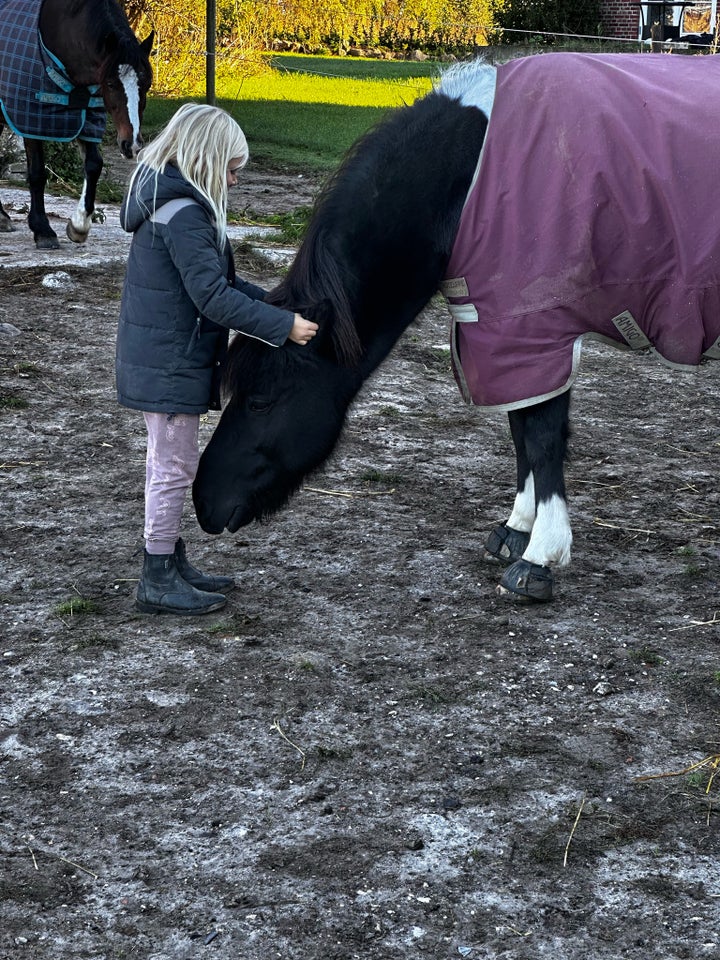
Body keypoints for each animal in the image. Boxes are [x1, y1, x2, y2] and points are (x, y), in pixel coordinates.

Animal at [0, 0, 152, 248]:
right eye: (111, 83)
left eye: (146, 83)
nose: (132, 144)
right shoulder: (29, 118)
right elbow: (37, 173)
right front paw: (43, 229)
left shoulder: (88, 117)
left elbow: (94, 165)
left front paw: (79, 224)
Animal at [191, 54, 720, 600]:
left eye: (260, 400)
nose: (203, 502)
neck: (472, 177)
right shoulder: (507, 337)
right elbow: (521, 430)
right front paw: (517, 528)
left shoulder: (537, 334)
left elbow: (543, 436)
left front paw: (541, 555)